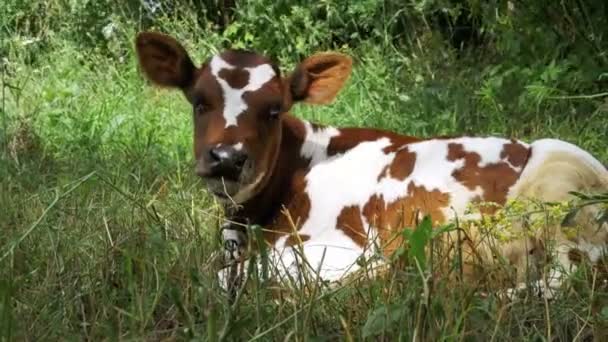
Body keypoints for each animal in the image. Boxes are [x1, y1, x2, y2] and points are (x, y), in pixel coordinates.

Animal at [137, 31, 608, 294]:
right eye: (200, 102)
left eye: (273, 110)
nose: (227, 159)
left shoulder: (339, 244)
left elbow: (232, 275)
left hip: (559, 177)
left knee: (566, 278)